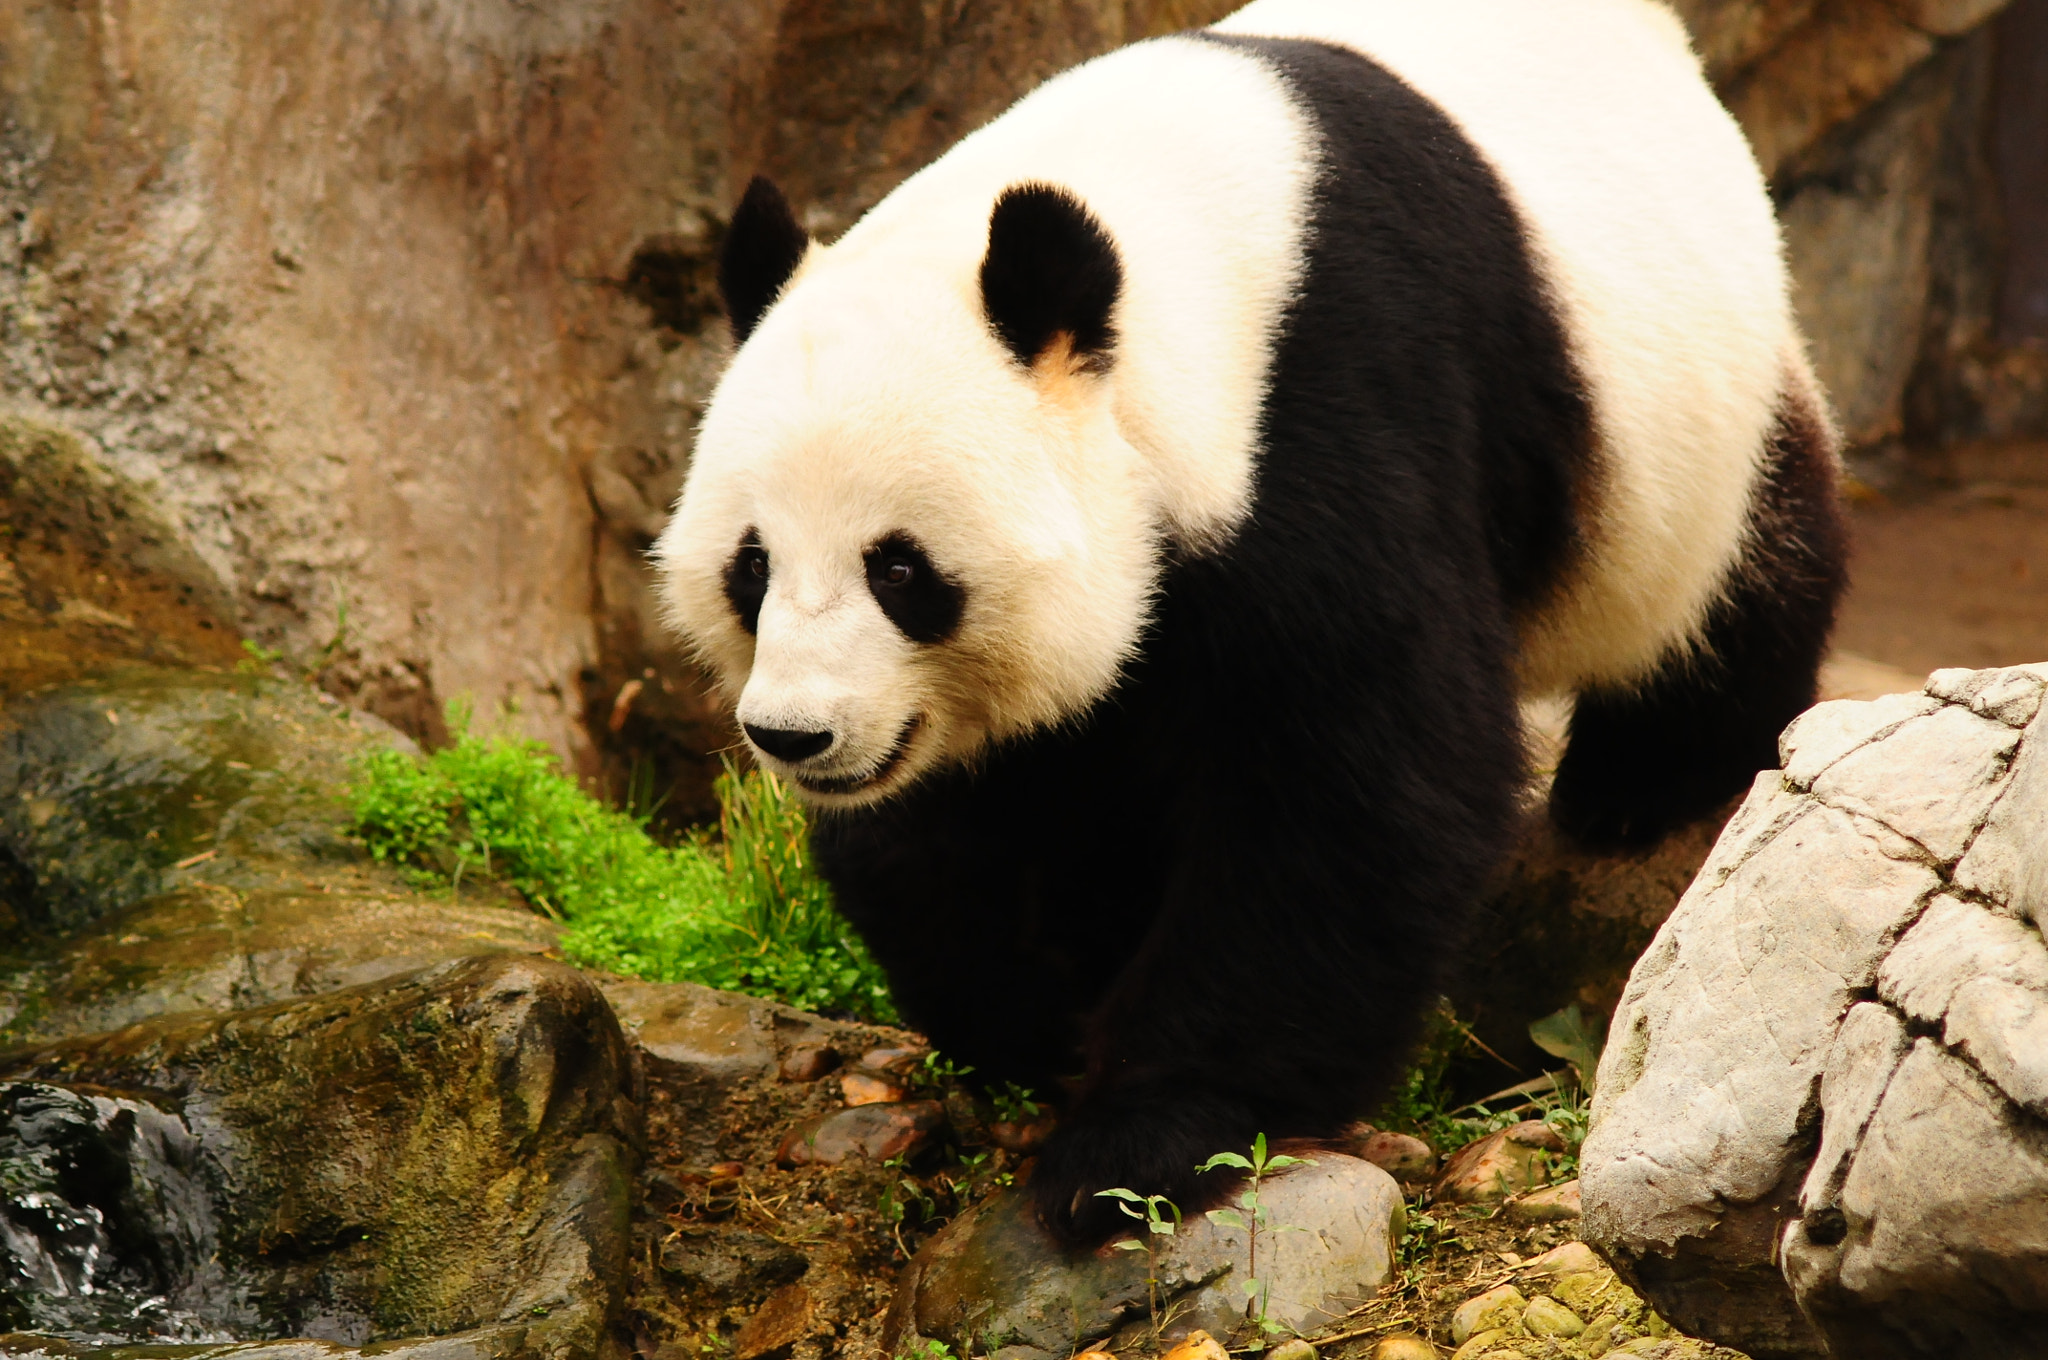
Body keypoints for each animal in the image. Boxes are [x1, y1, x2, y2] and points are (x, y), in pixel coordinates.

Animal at [654, 0, 1848, 1244]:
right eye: (751, 566)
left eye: (899, 569)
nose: (794, 735)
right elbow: (952, 820)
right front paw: (1030, 1014)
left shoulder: (1323, 409)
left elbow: (1357, 783)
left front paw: (1137, 1141)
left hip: (1679, 410)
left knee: (1736, 564)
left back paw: (1643, 783)